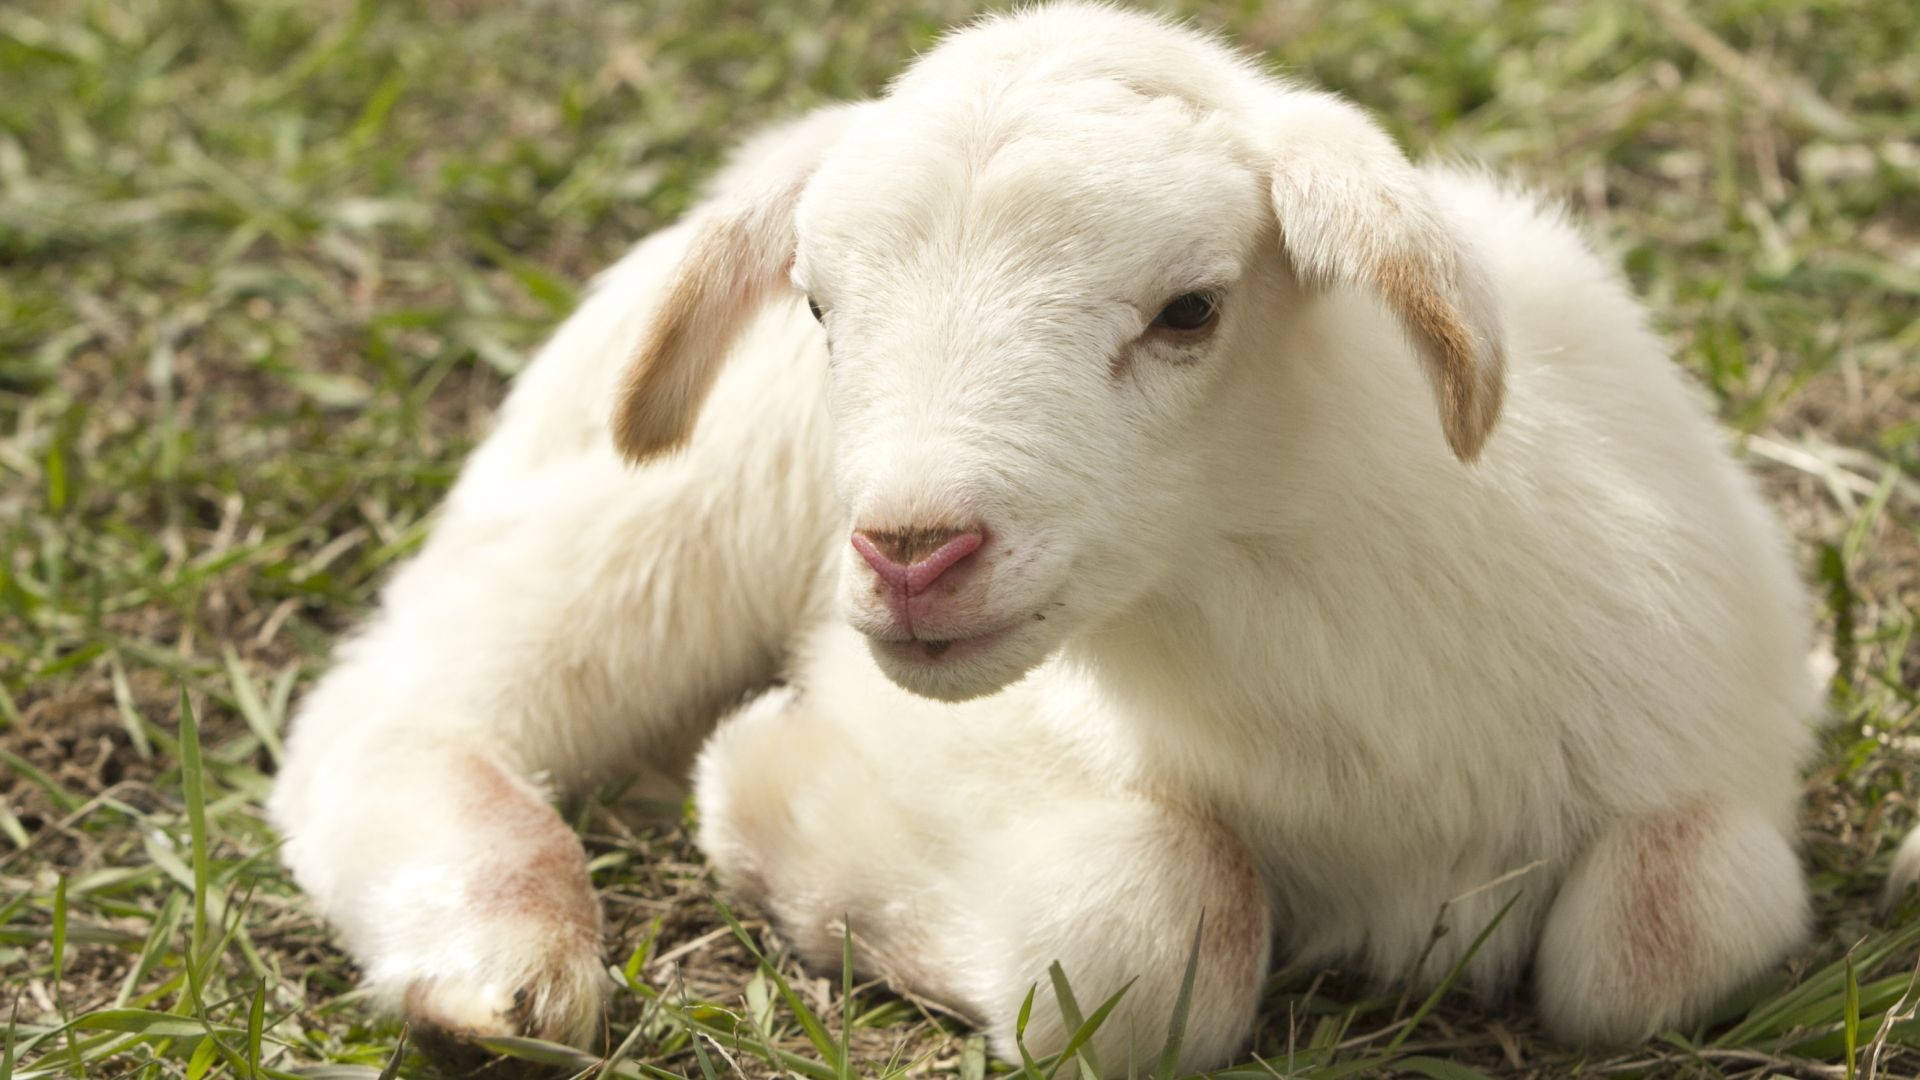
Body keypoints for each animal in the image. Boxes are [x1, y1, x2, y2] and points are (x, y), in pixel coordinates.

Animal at [263, 2, 1866, 1068]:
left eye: (1191, 309)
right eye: (819, 304)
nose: (911, 550)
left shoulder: (1709, 753)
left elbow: (1666, 932)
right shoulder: (943, 735)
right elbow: (1159, 933)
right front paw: (769, 810)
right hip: (649, 513)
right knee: (399, 706)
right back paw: (501, 962)